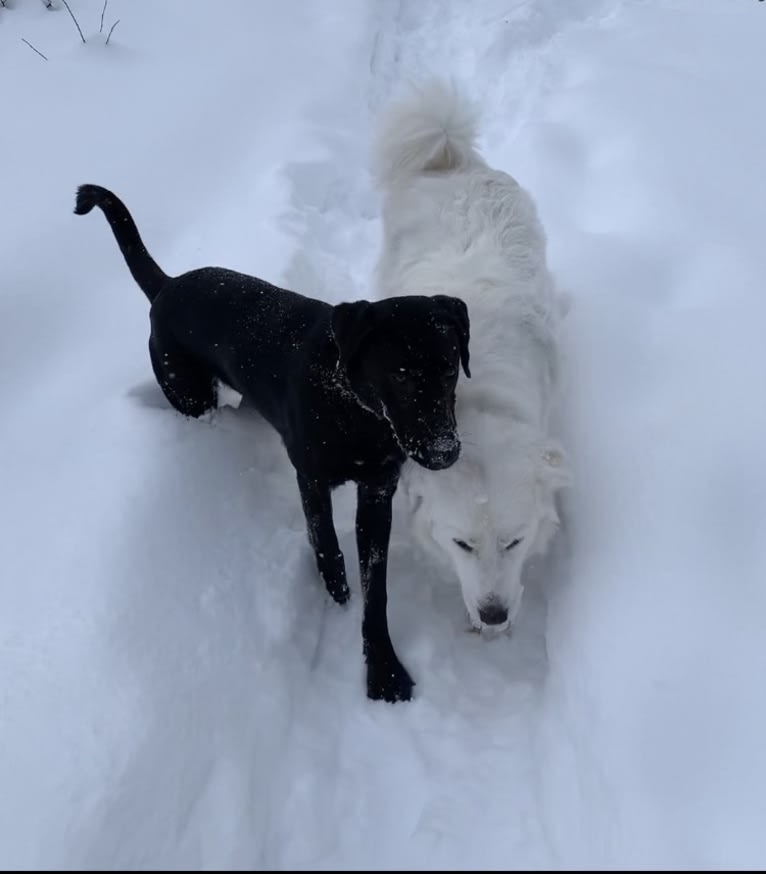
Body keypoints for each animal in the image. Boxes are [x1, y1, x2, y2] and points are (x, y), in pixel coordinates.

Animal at [75, 186, 472, 700]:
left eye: (450, 367)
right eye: (400, 375)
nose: (446, 451)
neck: (355, 410)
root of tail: (167, 285)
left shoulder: (377, 490)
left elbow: (377, 586)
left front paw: (382, 667)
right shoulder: (311, 478)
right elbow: (327, 542)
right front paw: (336, 593)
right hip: (187, 391)